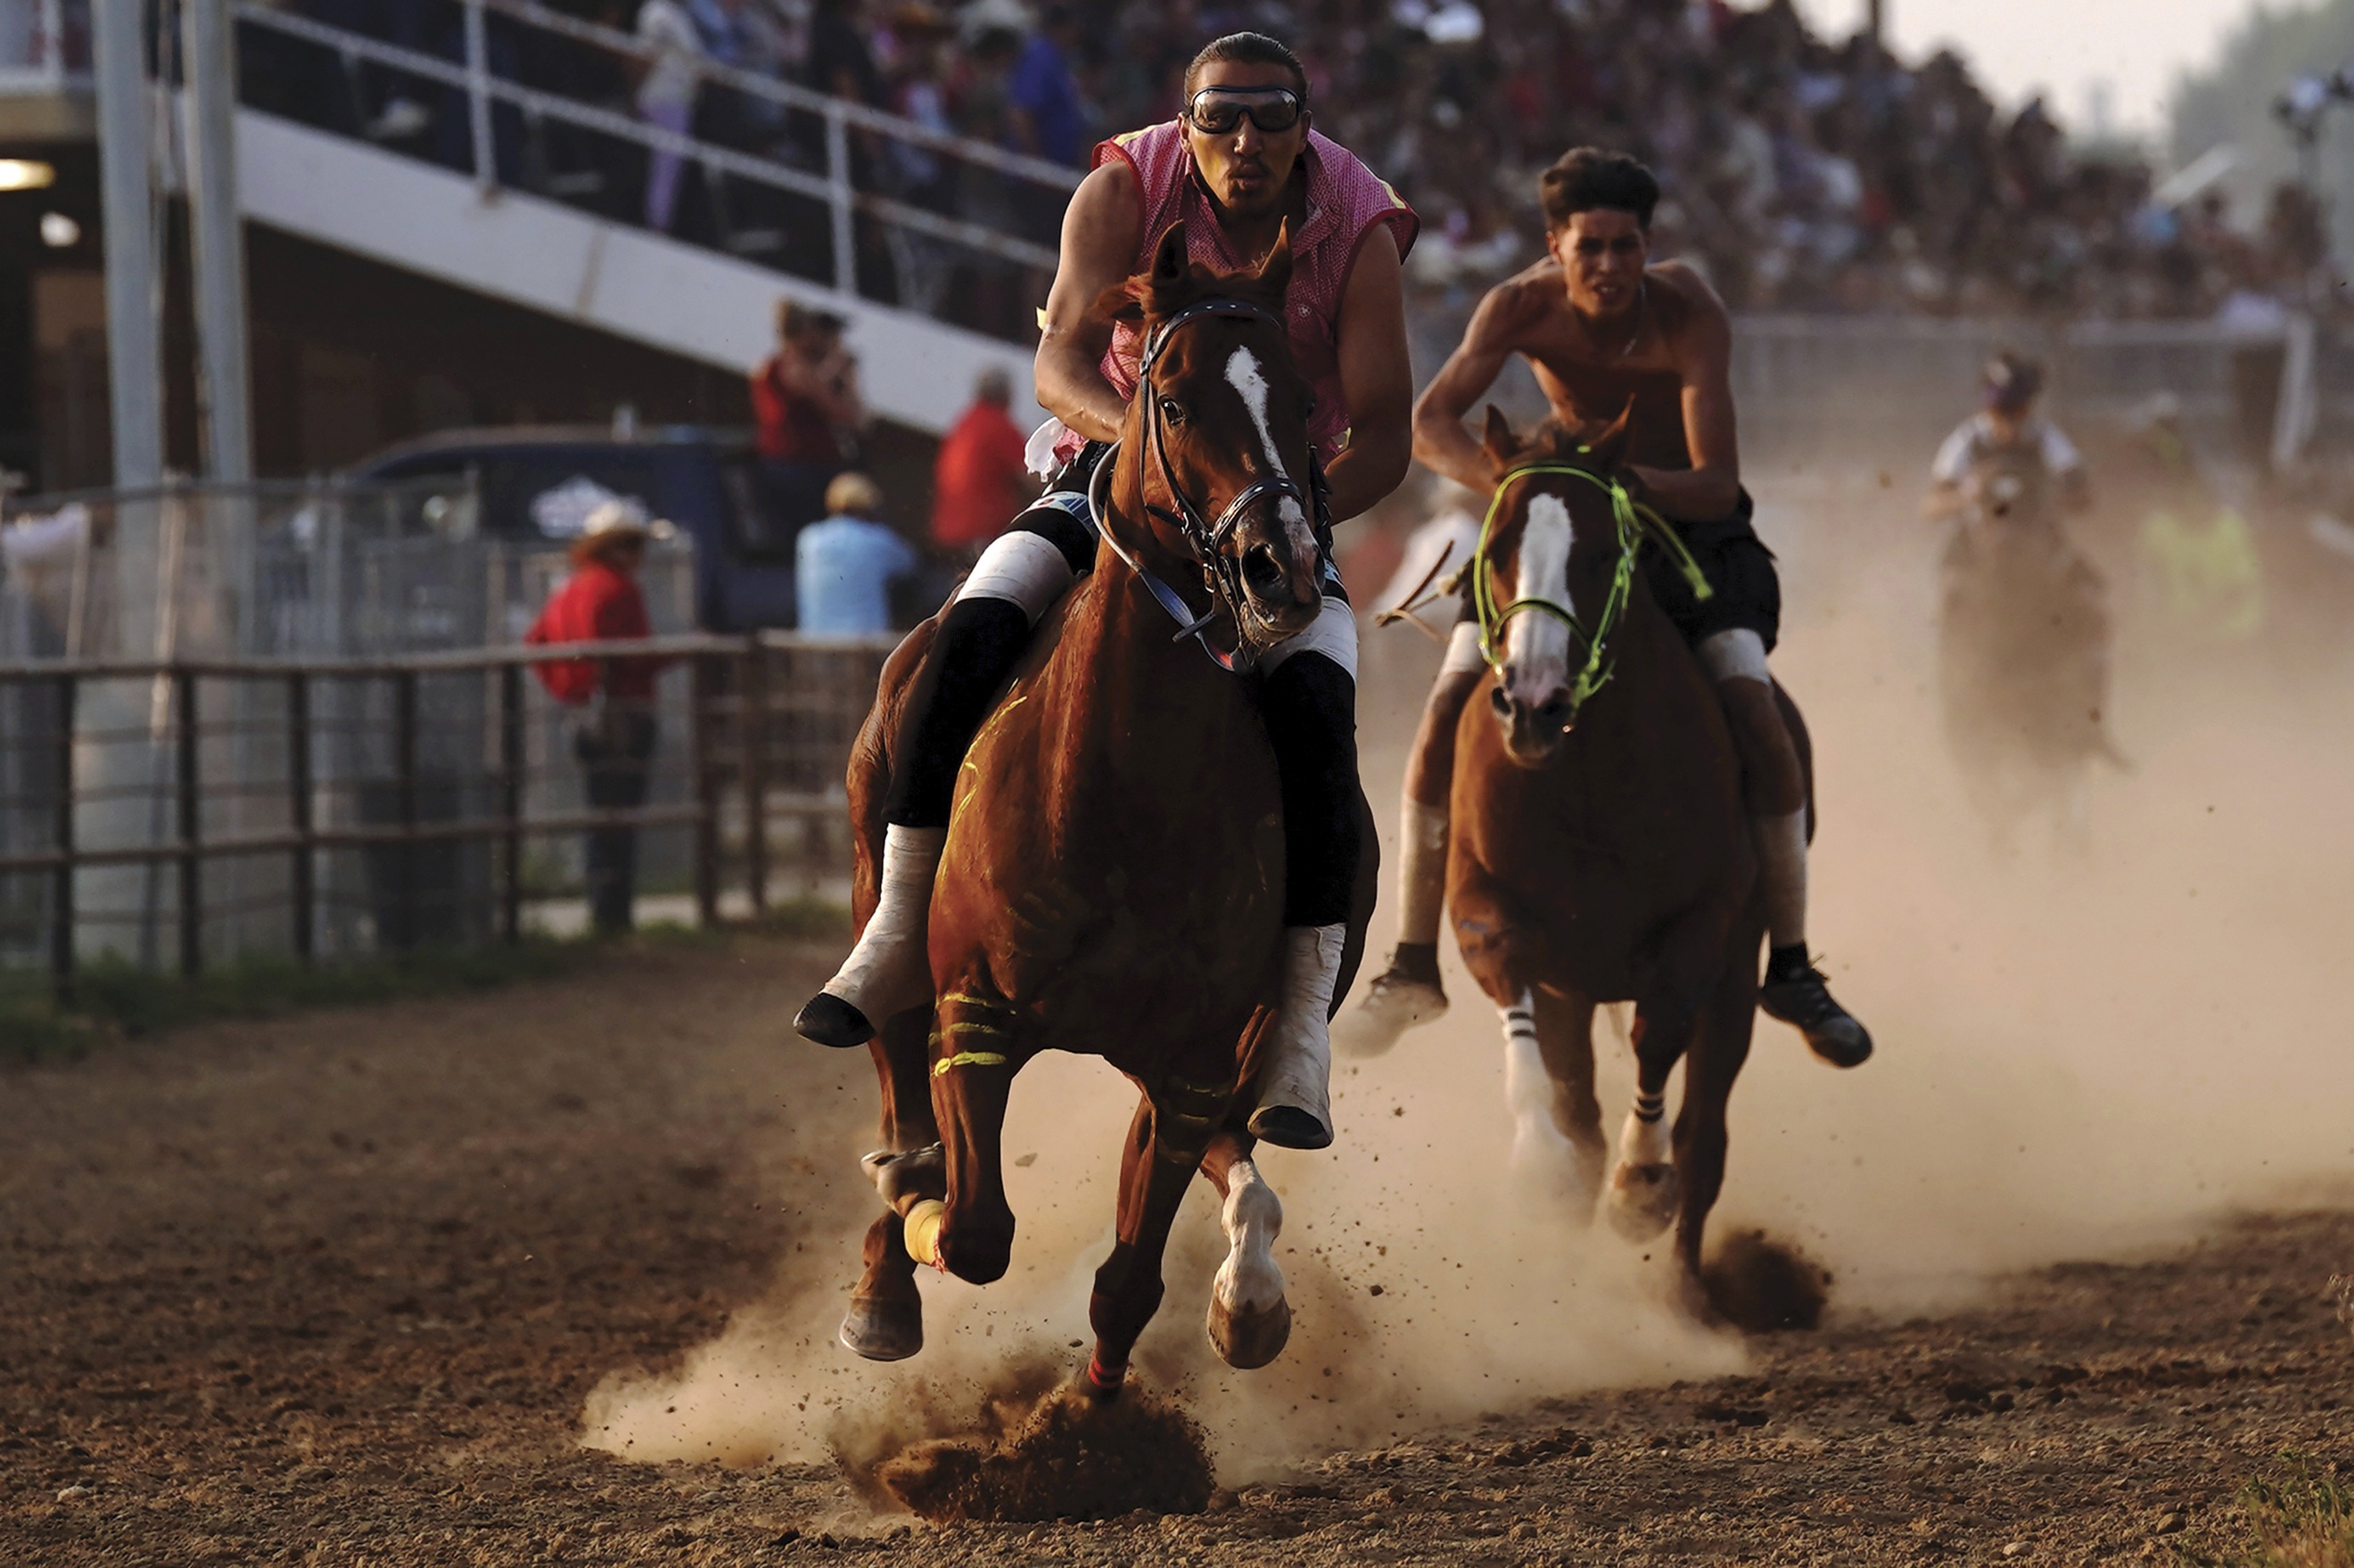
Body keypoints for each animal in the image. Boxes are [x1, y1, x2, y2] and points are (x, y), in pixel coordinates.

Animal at [1421, 402, 1807, 1280]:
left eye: (1602, 551)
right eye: (1496, 550)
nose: (1533, 702)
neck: (1586, 777)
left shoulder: (1705, 926)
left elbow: (1661, 1032)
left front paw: (1640, 1183)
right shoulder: (1489, 902)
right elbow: (1508, 979)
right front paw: (1542, 1162)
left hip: (1739, 977)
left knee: (1705, 1135)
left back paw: (1684, 1290)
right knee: (1586, 1104)